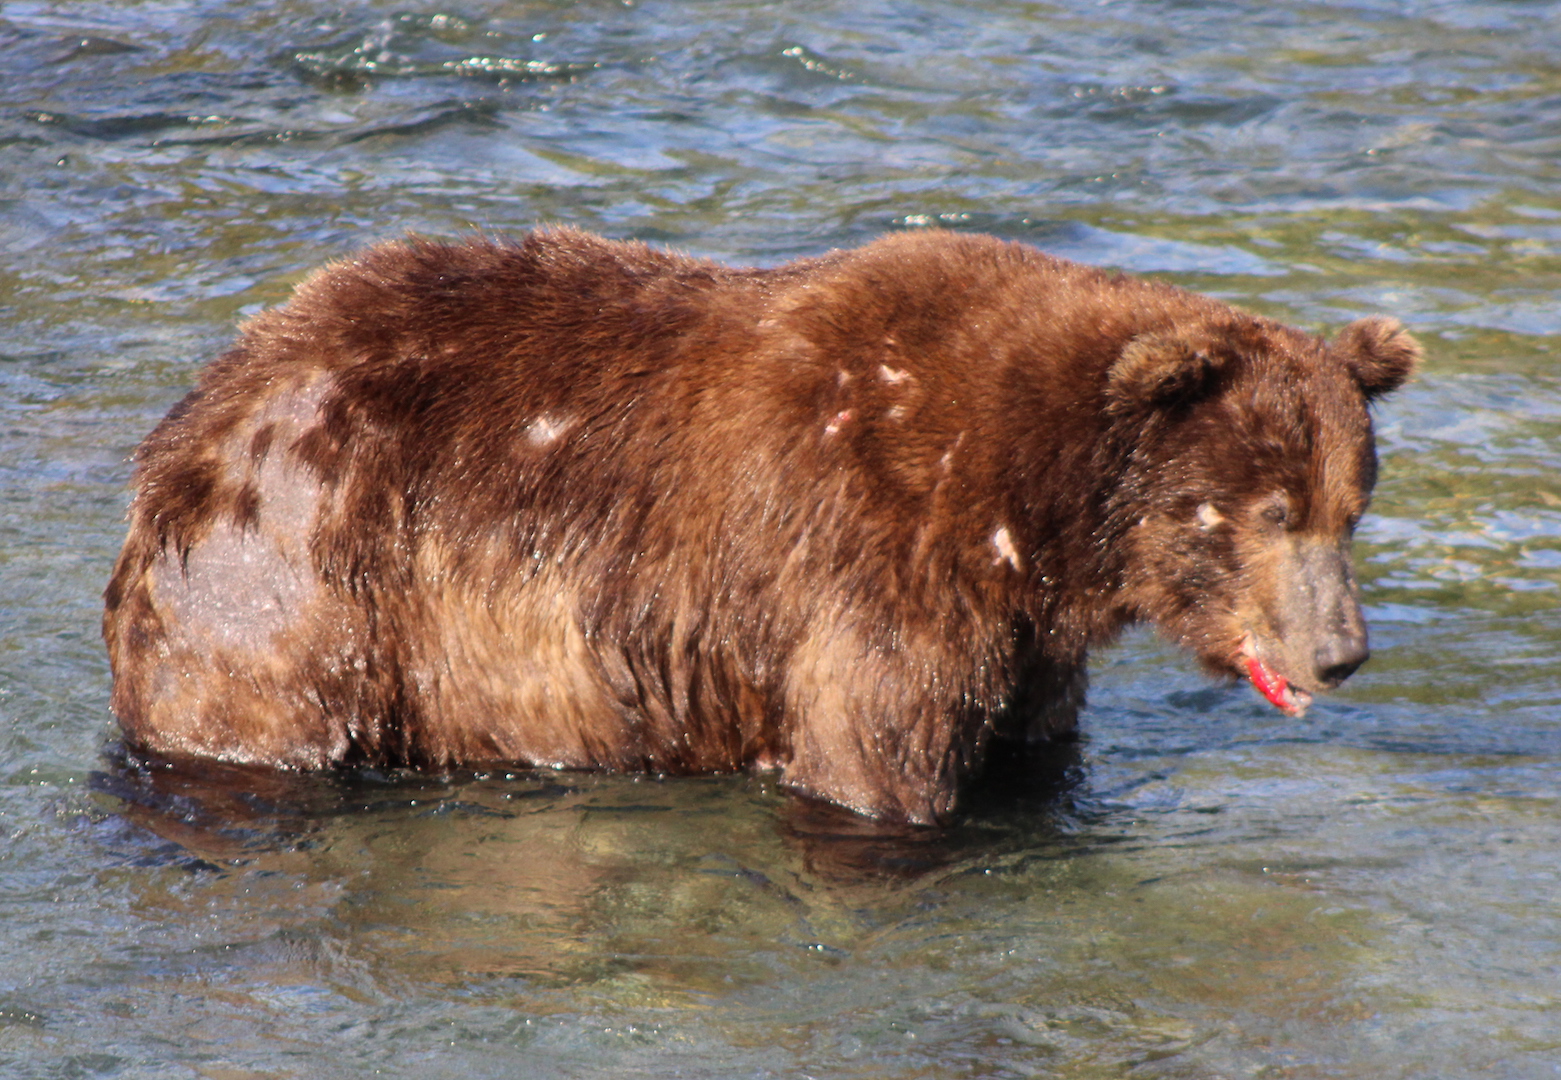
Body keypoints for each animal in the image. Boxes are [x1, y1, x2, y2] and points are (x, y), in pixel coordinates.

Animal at [102, 227, 1420, 825]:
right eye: (1269, 509)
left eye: (1351, 508)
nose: (1339, 651)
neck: (1039, 520)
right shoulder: (875, 561)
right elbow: (875, 764)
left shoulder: (1024, 635)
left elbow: (1032, 746)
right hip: (299, 569)